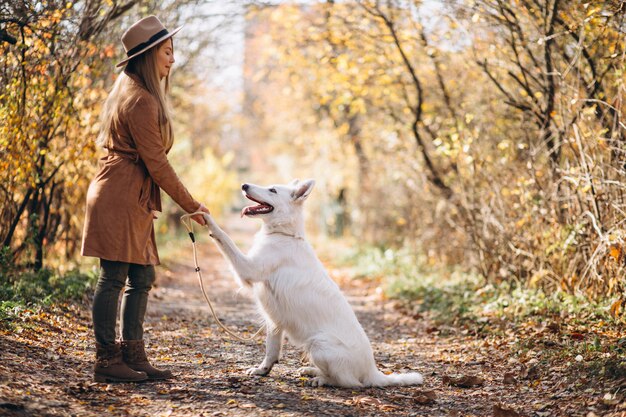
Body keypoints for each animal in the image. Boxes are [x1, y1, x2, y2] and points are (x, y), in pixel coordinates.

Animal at [202, 179, 422, 386]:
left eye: (272, 190)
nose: (244, 185)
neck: (285, 235)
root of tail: (372, 371)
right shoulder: (275, 321)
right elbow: (271, 351)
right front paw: (262, 370)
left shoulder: (247, 269)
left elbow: (224, 238)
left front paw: (206, 218)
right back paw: (312, 370)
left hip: (318, 344)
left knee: (348, 382)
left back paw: (322, 379)